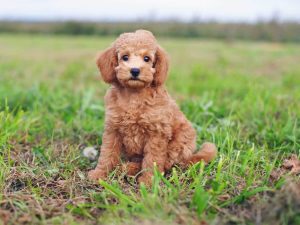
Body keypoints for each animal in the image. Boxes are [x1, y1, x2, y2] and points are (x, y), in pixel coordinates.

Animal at [88, 29, 217, 185]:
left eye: (147, 58)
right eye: (125, 57)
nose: (135, 70)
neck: (134, 95)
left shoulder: (157, 133)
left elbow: (152, 160)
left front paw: (149, 181)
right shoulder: (112, 129)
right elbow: (107, 154)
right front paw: (99, 174)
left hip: (179, 144)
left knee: (167, 163)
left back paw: (129, 168)